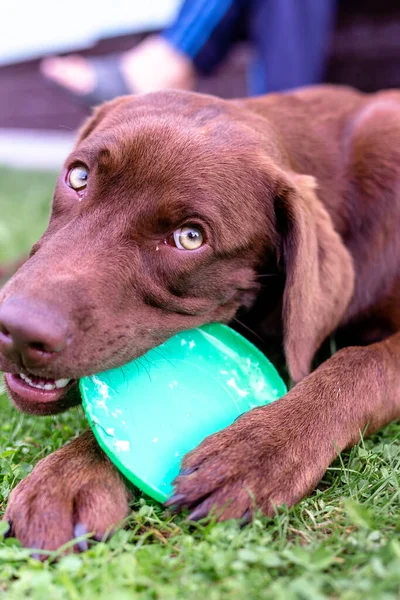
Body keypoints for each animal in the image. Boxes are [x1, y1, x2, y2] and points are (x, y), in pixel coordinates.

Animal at [0, 86, 400, 552]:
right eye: (78, 177)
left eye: (190, 238)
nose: (18, 331)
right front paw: (69, 476)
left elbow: (360, 362)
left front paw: (258, 450)